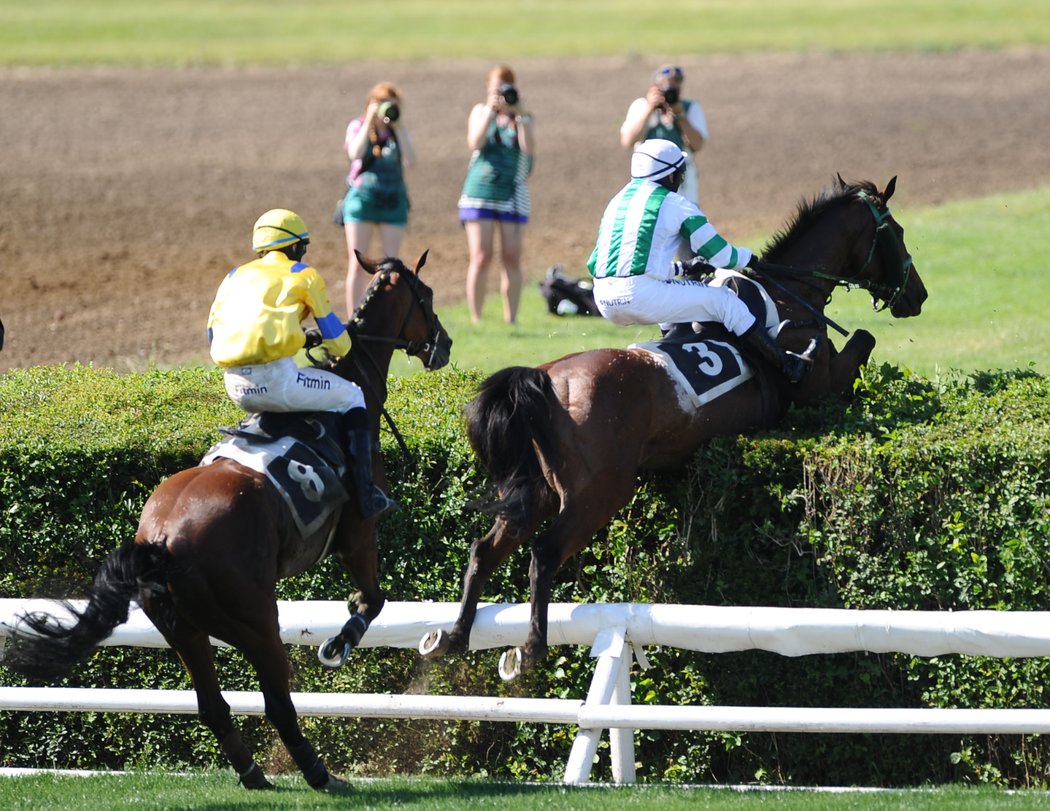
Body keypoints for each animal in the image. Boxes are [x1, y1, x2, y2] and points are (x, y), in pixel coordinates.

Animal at [2, 255, 451, 789]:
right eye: (427, 294)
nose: (444, 345)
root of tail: (160, 540)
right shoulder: (359, 533)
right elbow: (372, 600)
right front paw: (338, 643)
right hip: (256, 623)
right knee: (277, 704)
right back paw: (321, 775)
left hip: (183, 632)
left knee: (213, 707)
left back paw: (255, 775)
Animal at [417, 175, 928, 676]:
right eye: (898, 232)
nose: (918, 295)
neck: (786, 298)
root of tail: (544, 377)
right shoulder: (820, 386)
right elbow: (863, 340)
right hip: (598, 493)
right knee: (543, 554)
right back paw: (529, 648)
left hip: (536, 492)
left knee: (483, 550)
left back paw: (453, 637)